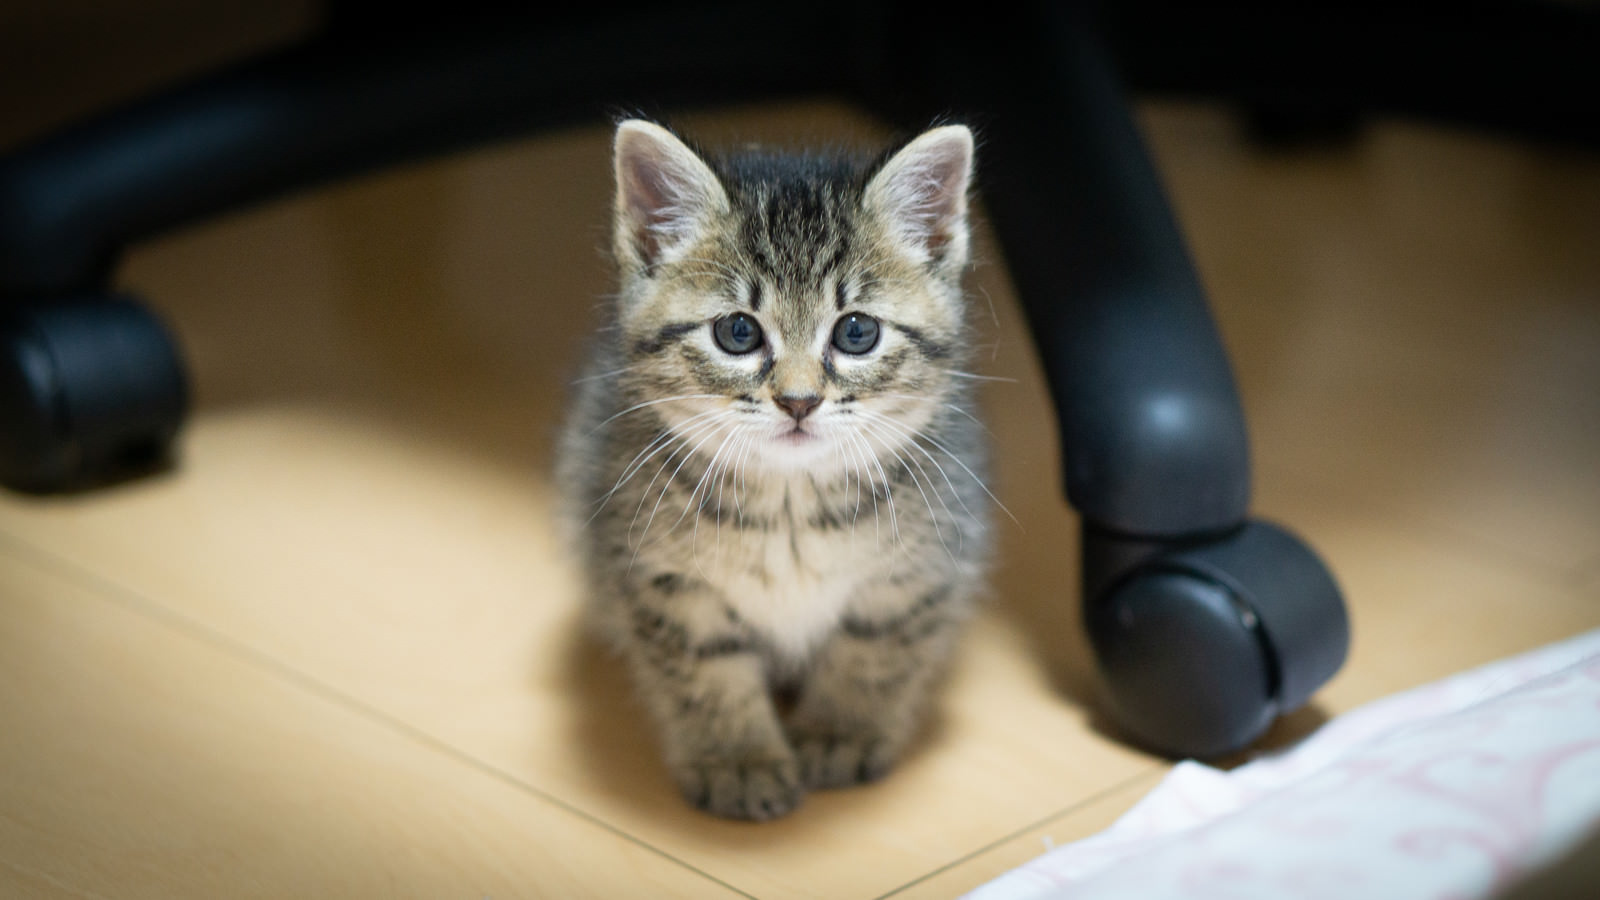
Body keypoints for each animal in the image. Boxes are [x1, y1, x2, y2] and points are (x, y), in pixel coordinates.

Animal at [556, 119, 992, 819]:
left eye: (857, 332)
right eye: (738, 332)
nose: (798, 400)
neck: (790, 504)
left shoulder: (919, 573)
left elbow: (875, 651)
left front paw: (839, 732)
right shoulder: (660, 581)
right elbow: (706, 672)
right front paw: (739, 760)